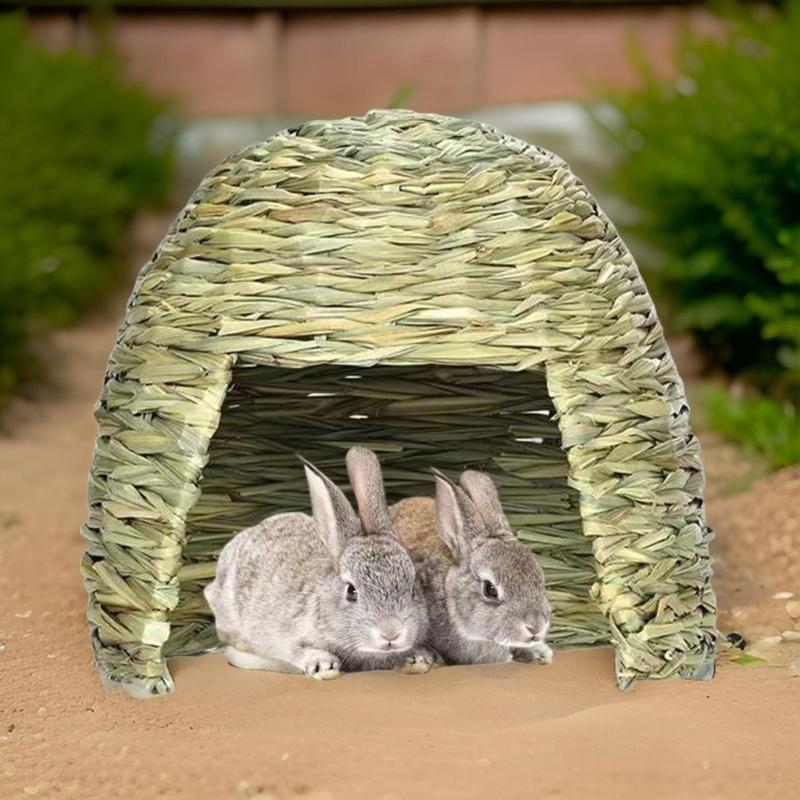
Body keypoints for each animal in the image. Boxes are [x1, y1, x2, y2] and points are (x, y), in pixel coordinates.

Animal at [204, 447, 431, 680]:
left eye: (413, 589)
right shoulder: (286, 637)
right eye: (351, 591)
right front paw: (324, 665)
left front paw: (417, 658)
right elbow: (298, 651)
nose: (391, 633)